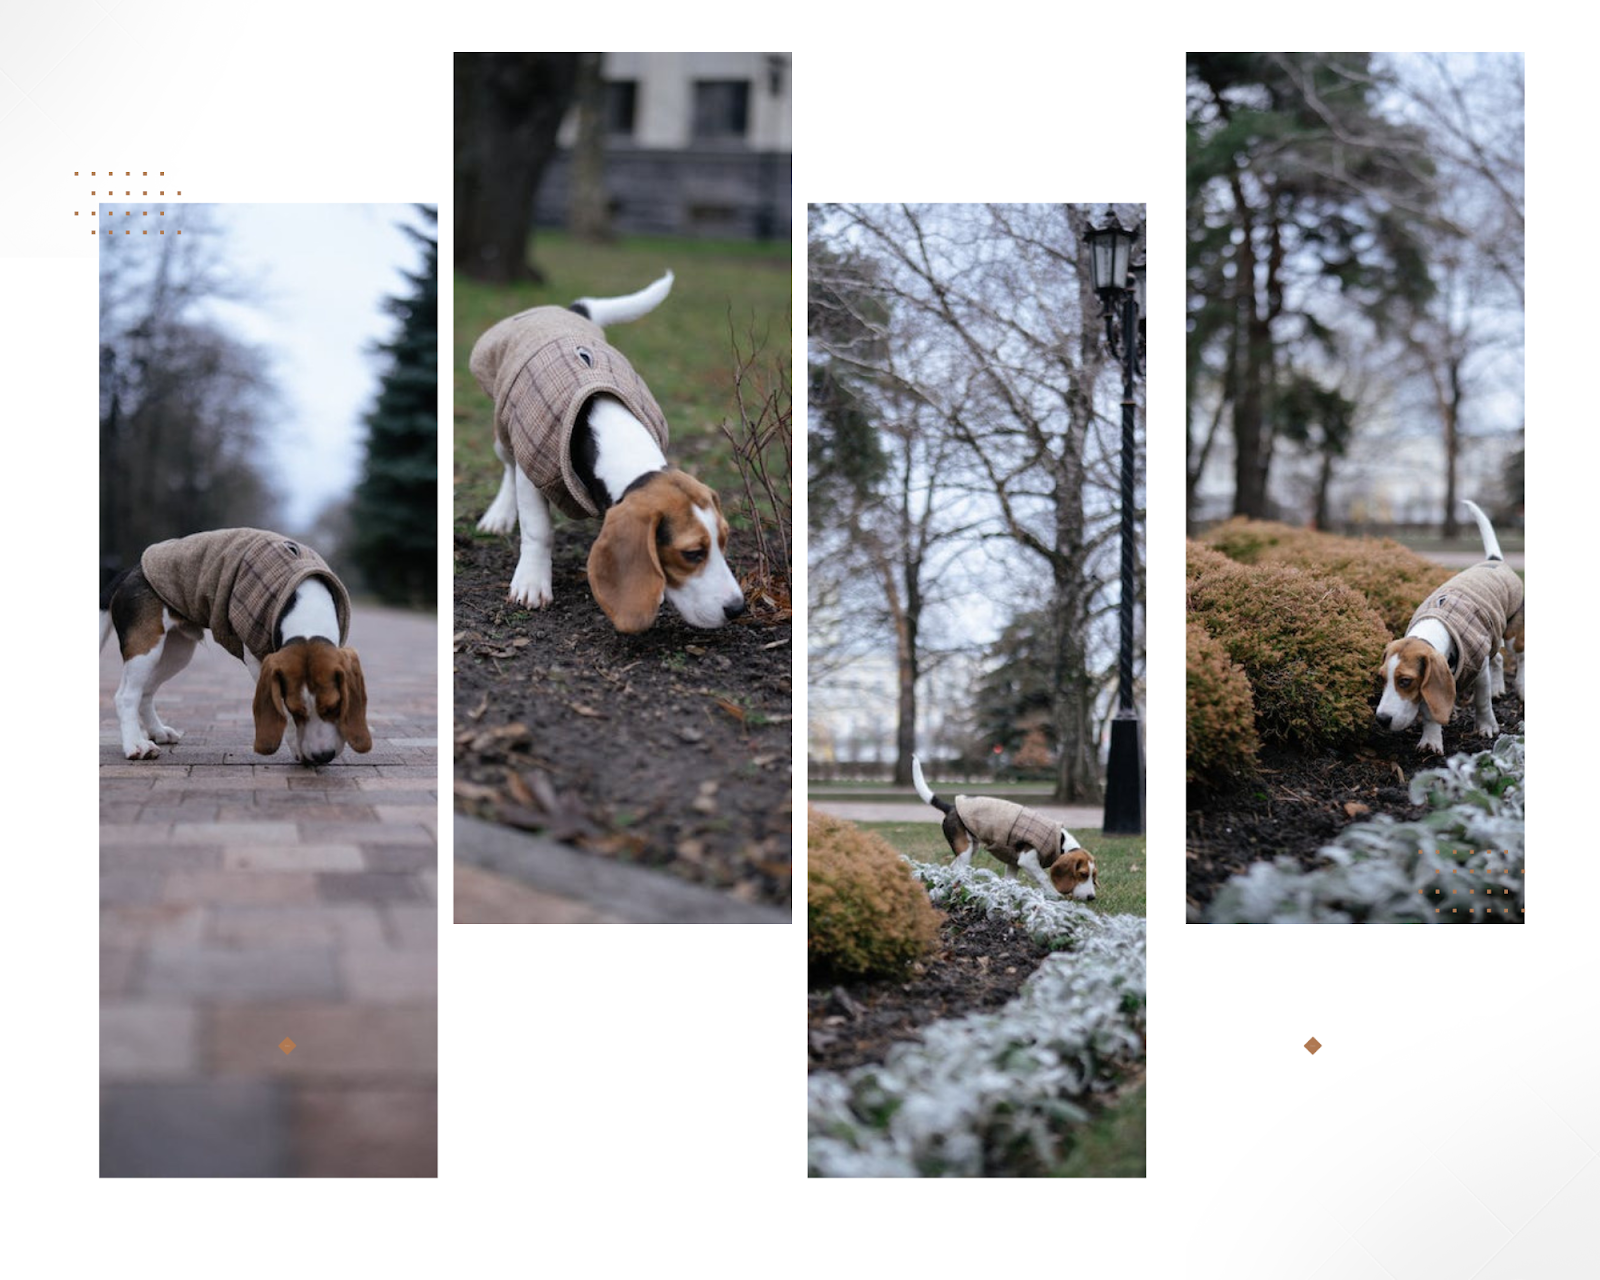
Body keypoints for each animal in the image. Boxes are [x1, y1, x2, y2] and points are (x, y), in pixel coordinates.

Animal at [102, 528, 371, 764]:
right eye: (296, 710)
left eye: (335, 706)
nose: (323, 756)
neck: (306, 613)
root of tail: (131, 570)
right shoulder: (256, 660)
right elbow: (285, 717)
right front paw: (298, 747)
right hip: (146, 648)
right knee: (126, 696)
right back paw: (135, 745)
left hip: (176, 653)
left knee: (146, 693)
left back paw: (158, 732)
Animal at [467, 272, 748, 633]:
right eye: (691, 553)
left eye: (725, 540)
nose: (738, 608)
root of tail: (567, 311)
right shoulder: (534, 471)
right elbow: (538, 530)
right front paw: (531, 582)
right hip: (504, 431)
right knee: (508, 467)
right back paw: (499, 515)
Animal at [915, 761, 1100, 902]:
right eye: (1082, 874)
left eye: (1093, 876)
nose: (1091, 897)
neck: (1060, 842)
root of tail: (951, 807)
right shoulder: (1028, 860)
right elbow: (1043, 877)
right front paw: (1054, 895)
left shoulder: (1013, 863)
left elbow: (1011, 882)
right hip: (965, 849)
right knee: (958, 869)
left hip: (971, 847)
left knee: (953, 868)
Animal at [1376, 499, 1523, 755]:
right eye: (1382, 678)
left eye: (1405, 681)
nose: (1381, 719)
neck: (1435, 626)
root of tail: (1494, 560)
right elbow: (1430, 712)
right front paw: (1431, 739)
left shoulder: (1478, 668)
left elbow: (1481, 701)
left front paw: (1486, 726)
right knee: (1498, 658)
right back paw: (1498, 688)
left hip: (1513, 632)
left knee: (1520, 659)